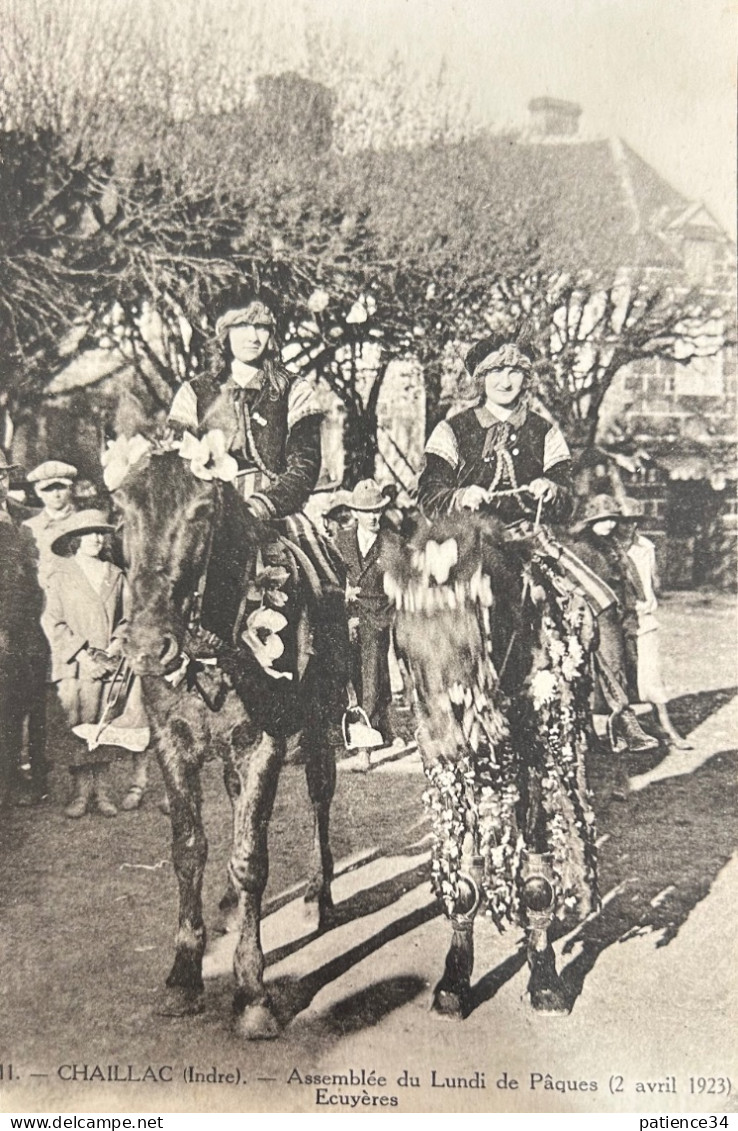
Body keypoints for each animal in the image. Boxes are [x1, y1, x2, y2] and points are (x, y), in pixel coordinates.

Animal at [109, 436, 348, 1035]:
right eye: (121, 506)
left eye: (201, 511)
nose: (148, 646)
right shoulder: (172, 740)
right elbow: (188, 850)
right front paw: (184, 974)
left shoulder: (263, 741)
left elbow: (250, 859)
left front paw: (251, 992)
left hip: (319, 723)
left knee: (319, 793)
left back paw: (318, 895)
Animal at [381, 513, 601, 1017]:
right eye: (404, 645)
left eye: (472, 639)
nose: (449, 738)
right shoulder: (454, 776)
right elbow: (463, 880)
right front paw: (455, 978)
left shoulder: (538, 762)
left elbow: (538, 877)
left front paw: (544, 977)